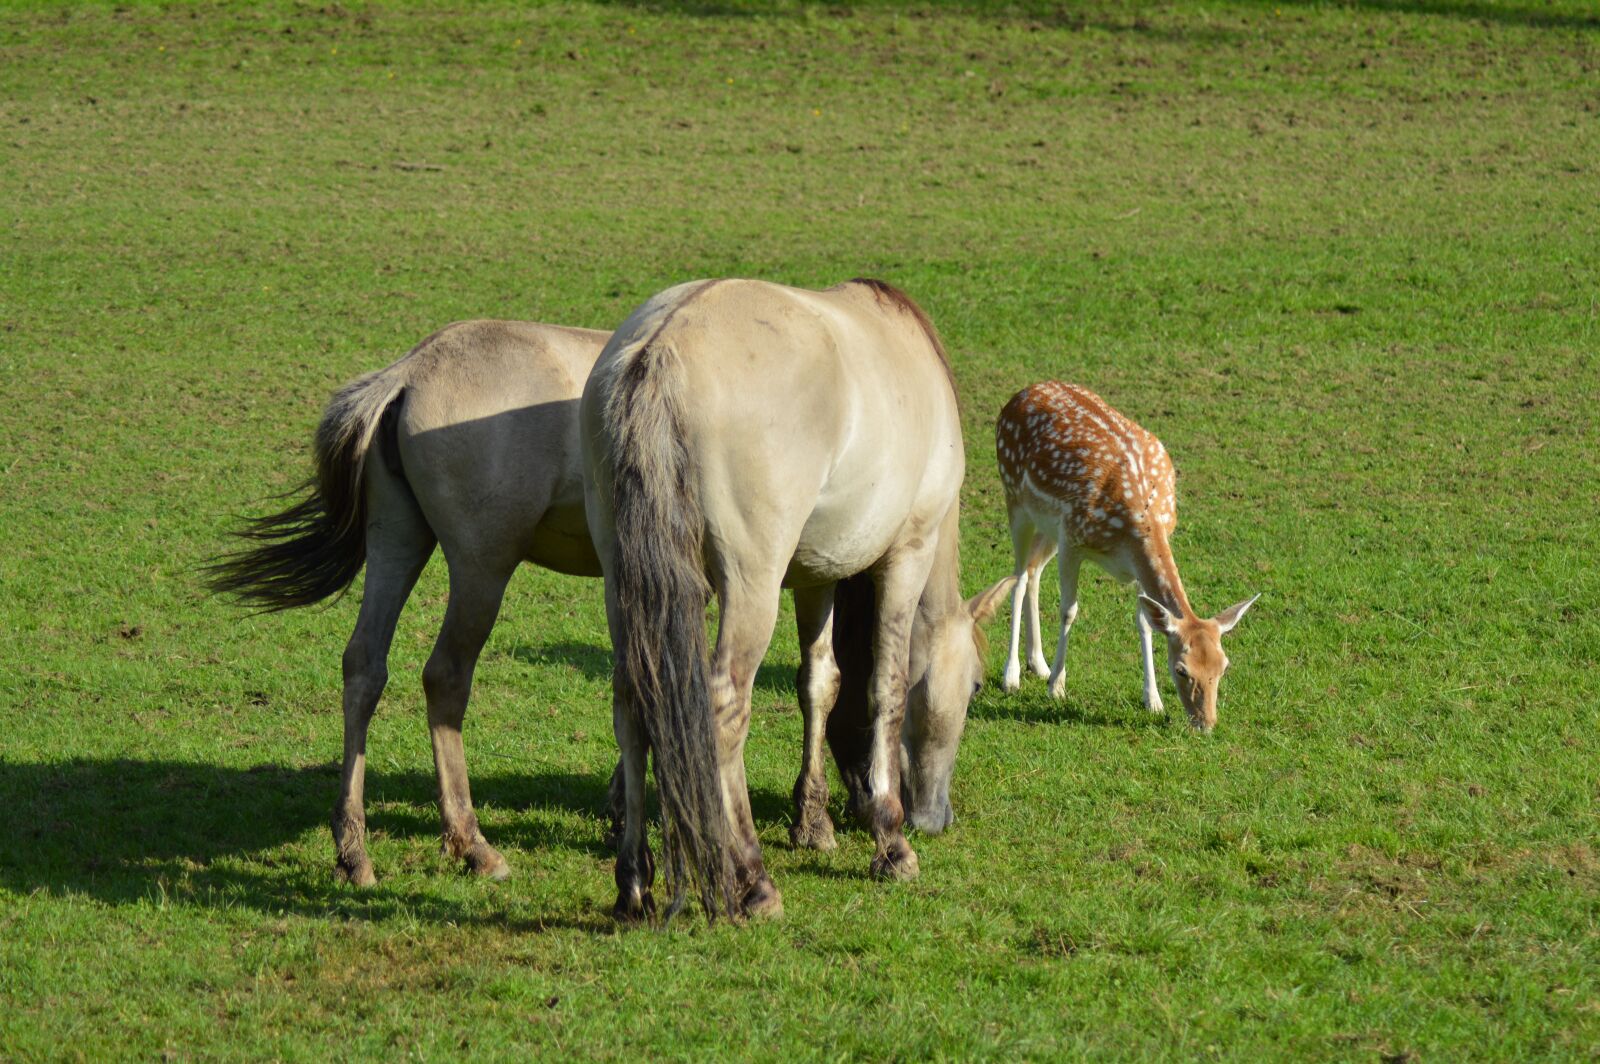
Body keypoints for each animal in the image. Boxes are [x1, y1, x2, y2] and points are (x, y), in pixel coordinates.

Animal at [582, 278, 1013, 923]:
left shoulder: (817, 575)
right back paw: (752, 880)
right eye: (977, 687)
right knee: (724, 707)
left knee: (634, 702)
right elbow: (885, 689)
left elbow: (821, 684)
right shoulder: (908, 553)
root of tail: (658, 351)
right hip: (750, 585)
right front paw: (891, 840)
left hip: (624, 578)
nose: (936, 817)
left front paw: (813, 821)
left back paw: (634, 882)